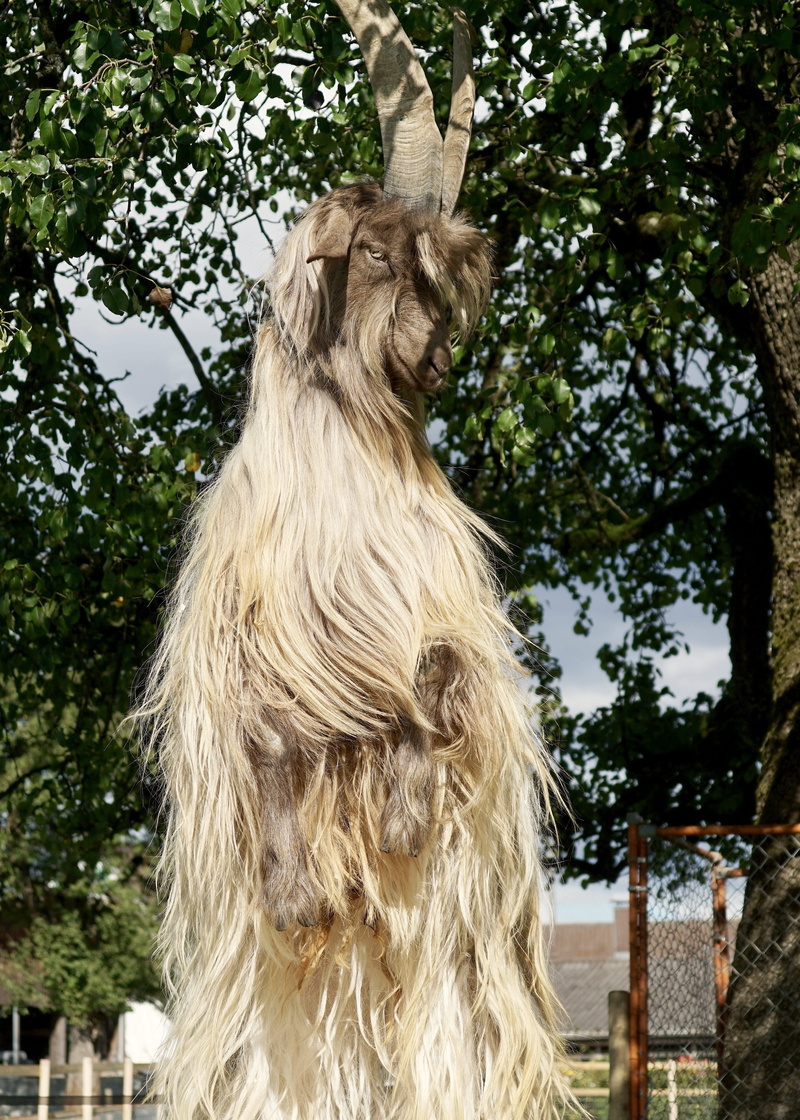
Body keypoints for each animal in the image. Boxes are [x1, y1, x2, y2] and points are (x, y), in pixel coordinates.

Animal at [139, 3, 569, 1118]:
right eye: (370, 251)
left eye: (439, 267)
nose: (433, 355)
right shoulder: (249, 651)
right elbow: (278, 745)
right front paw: (300, 896)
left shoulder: (443, 627)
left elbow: (431, 683)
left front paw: (407, 816)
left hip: (447, 1003)